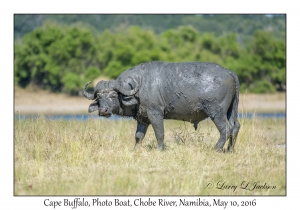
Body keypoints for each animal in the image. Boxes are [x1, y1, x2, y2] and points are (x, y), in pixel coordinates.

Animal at [83, 61, 240, 152]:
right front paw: (135, 150)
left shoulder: (155, 114)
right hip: (231, 111)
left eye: (113, 95)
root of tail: (229, 72)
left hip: (216, 111)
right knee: (235, 126)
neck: (139, 86)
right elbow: (138, 136)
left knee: (226, 128)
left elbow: (159, 133)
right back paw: (230, 150)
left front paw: (160, 149)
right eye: (99, 97)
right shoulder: (142, 118)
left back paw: (217, 148)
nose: (103, 111)